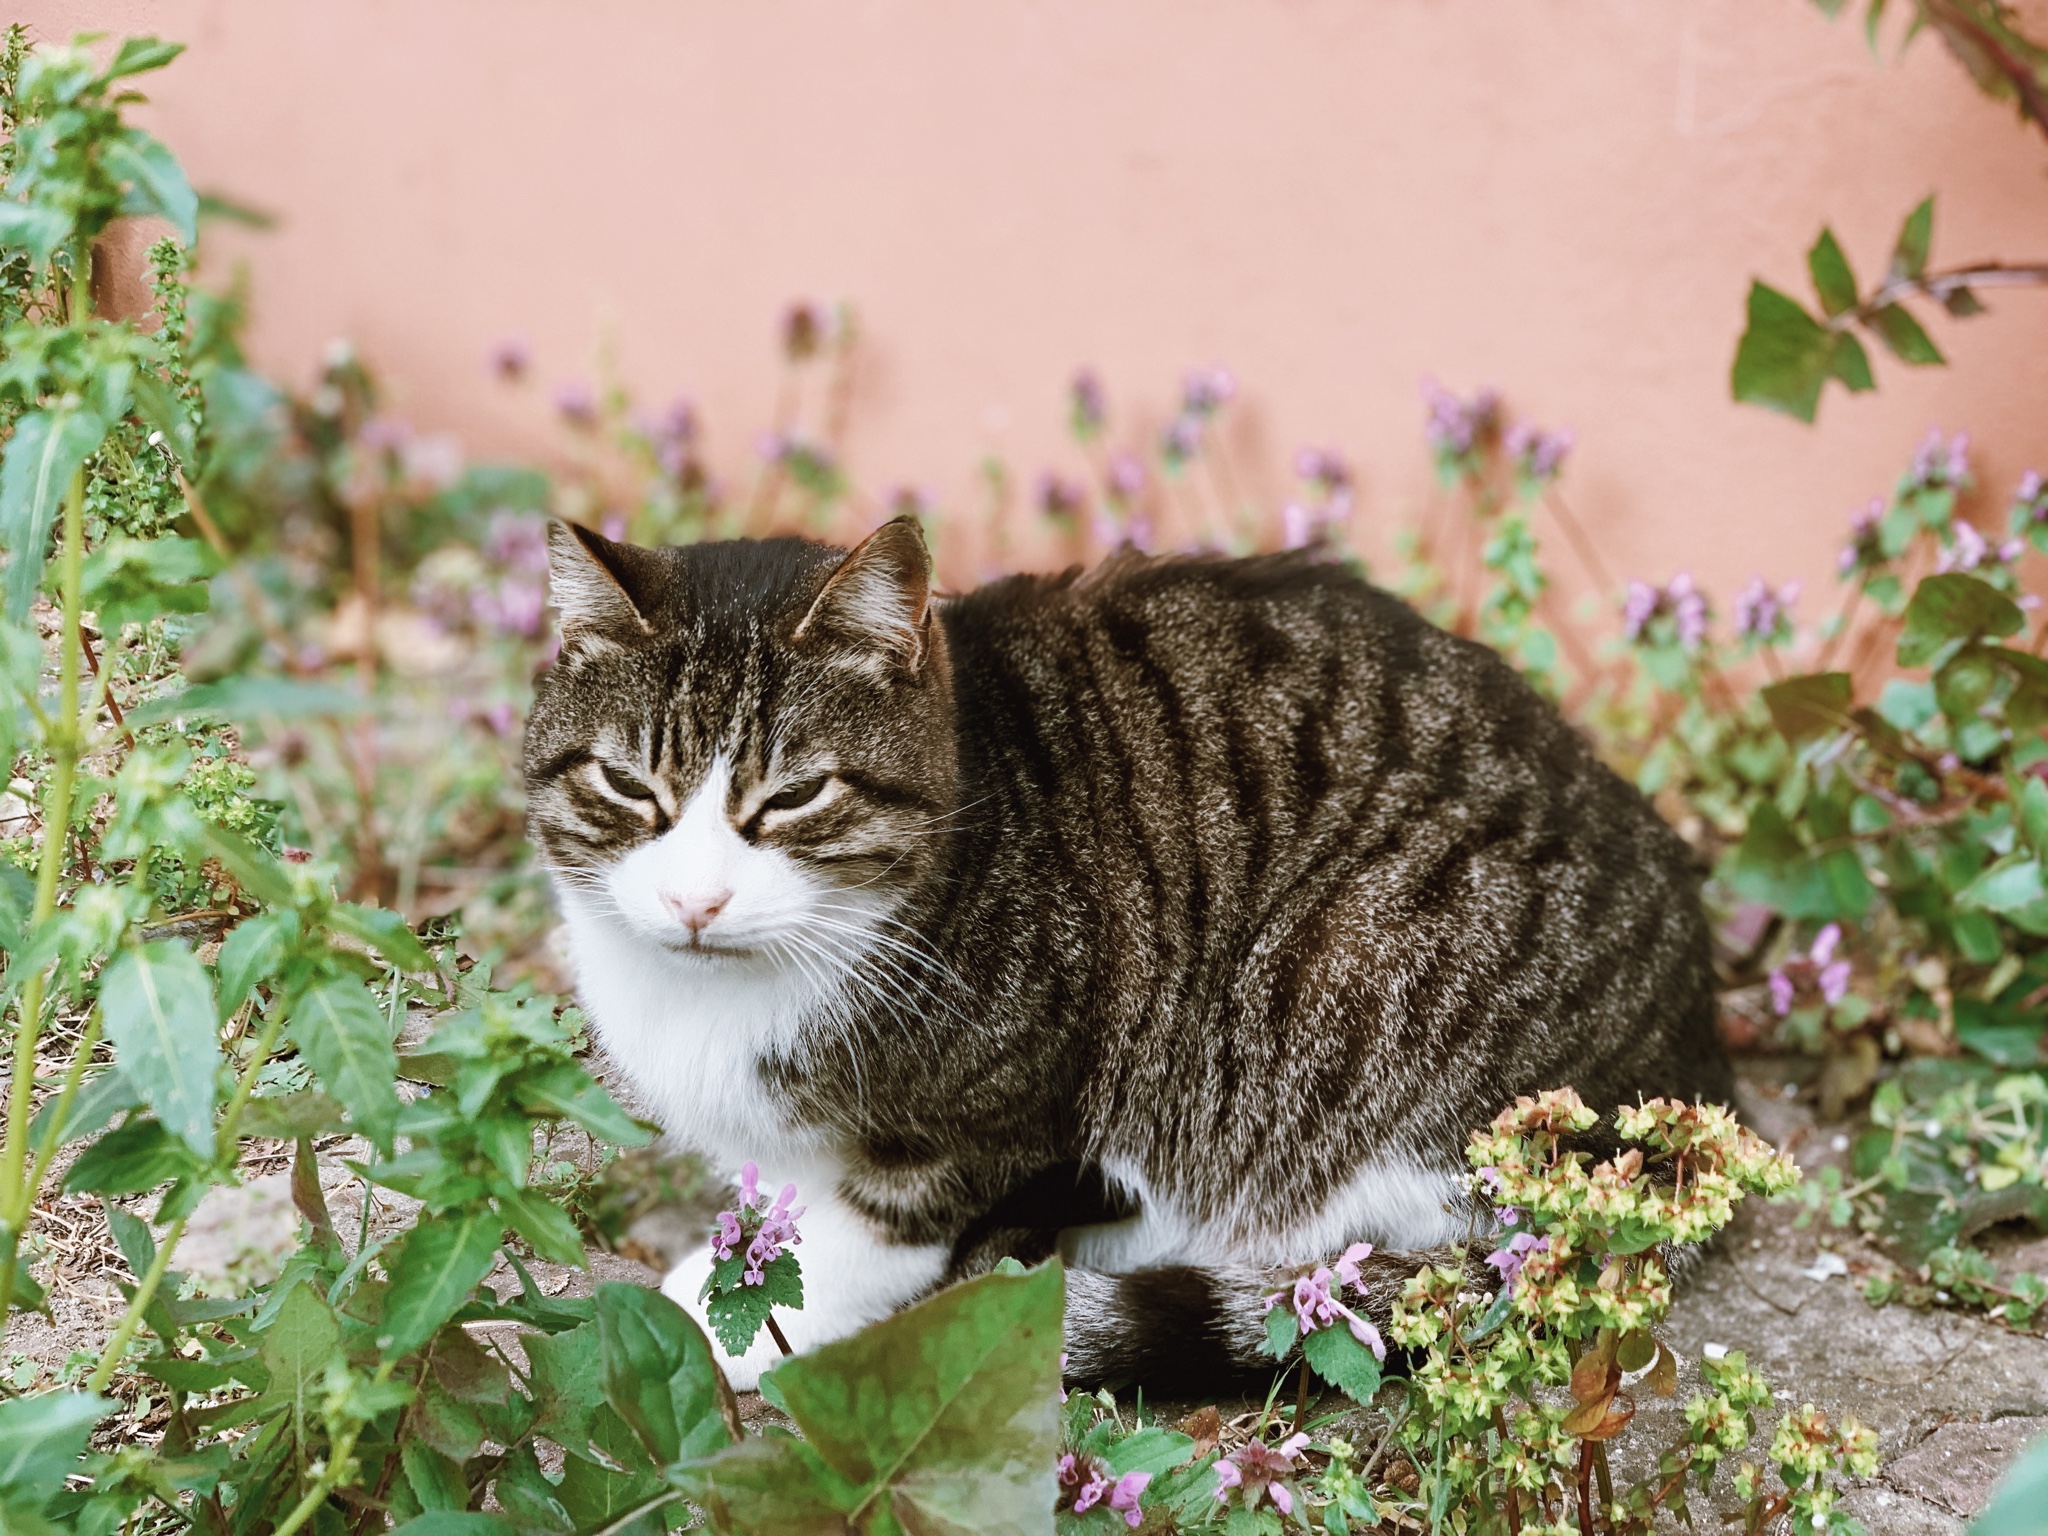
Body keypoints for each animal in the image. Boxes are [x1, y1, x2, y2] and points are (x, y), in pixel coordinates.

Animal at [524, 518, 1728, 1392]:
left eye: (793, 796)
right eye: (627, 786)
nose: (695, 898)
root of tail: (1687, 1065)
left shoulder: (996, 1116)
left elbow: (873, 1234)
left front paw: (716, 1316)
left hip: (1332, 993)